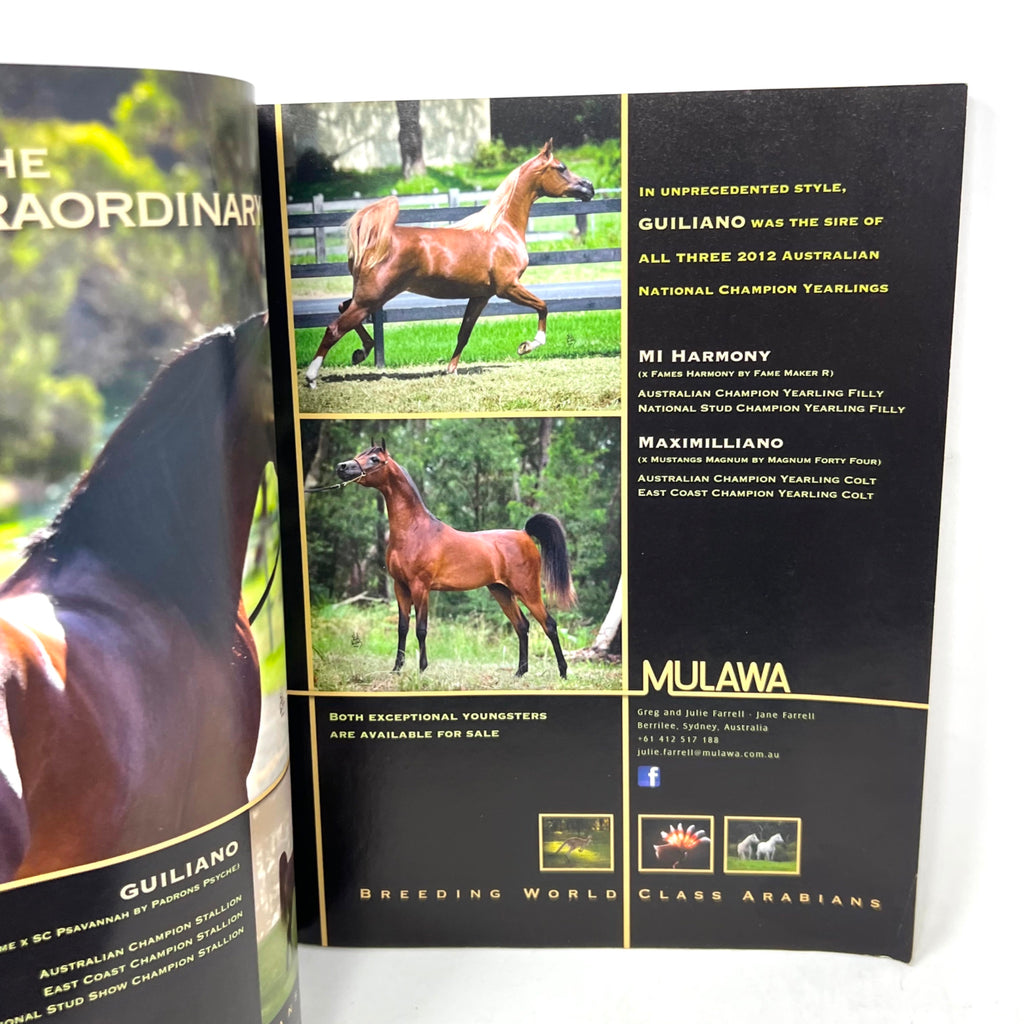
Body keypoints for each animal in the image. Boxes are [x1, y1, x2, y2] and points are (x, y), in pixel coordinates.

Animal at [304, 139, 595, 386]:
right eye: (561, 168)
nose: (589, 187)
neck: (501, 230)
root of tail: (373, 241)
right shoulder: (508, 287)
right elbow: (543, 307)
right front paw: (527, 346)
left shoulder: (481, 296)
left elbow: (464, 332)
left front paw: (451, 369)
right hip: (373, 296)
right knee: (335, 327)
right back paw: (312, 377)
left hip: (368, 296)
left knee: (343, 309)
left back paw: (360, 353)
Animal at [335, 442, 576, 678]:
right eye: (361, 453)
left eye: (375, 459)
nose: (342, 467)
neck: (414, 531)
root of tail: (524, 533)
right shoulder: (400, 586)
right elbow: (402, 628)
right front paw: (396, 669)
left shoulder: (420, 587)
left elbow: (421, 629)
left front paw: (422, 670)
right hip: (501, 591)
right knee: (522, 626)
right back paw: (519, 672)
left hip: (527, 590)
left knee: (549, 625)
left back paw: (563, 672)